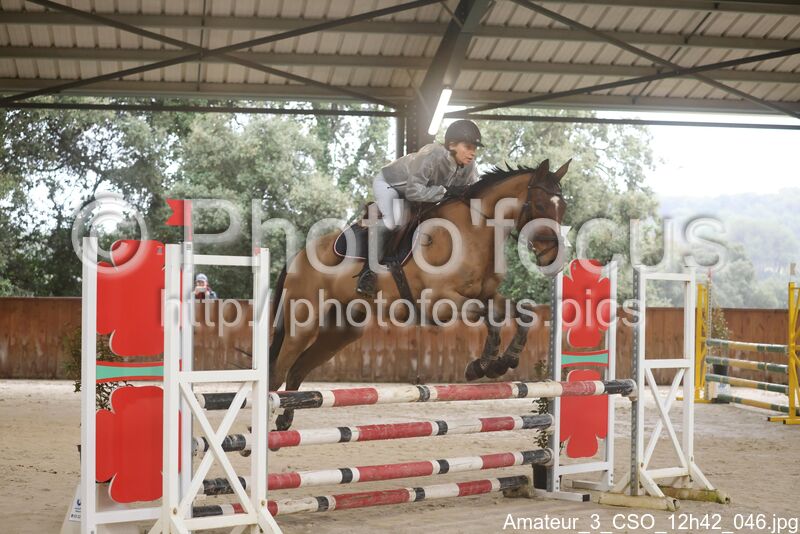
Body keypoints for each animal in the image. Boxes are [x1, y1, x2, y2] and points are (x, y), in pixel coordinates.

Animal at [269, 159, 570, 430]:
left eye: (563, 208)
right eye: (540, 205)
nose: (553, 259)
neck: (474, 232)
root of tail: (298, 257)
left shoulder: (486, 294)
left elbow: (521, 315)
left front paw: (503, 361)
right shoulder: (439, 303)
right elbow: (492, 316)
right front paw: (484, 364)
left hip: (340, 332)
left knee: (296, 371)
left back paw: (285, 420)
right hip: (302, 325)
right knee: (278, 373)